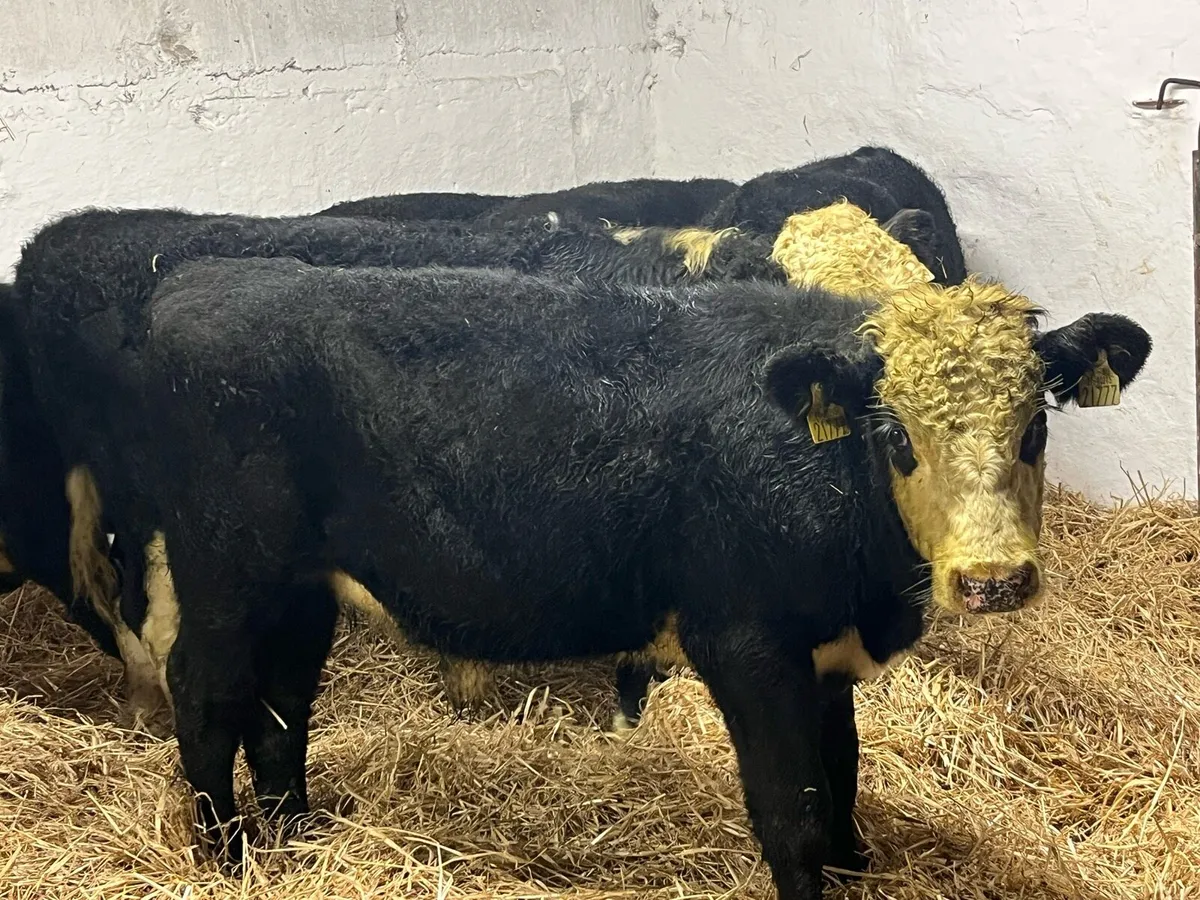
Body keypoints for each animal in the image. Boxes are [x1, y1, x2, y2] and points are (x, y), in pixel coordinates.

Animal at [1, 246, 1147, 897]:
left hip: (299, 587)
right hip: (224, 568)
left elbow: (846, 782)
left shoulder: (824, 652)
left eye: (1035, 425)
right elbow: (792, 808)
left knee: (280, 708)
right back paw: (225, 857)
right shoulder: (750, 644)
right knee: (206, 696)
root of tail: (193, 279)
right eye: (895, 433)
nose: (994, 579)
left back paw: (294, 836)